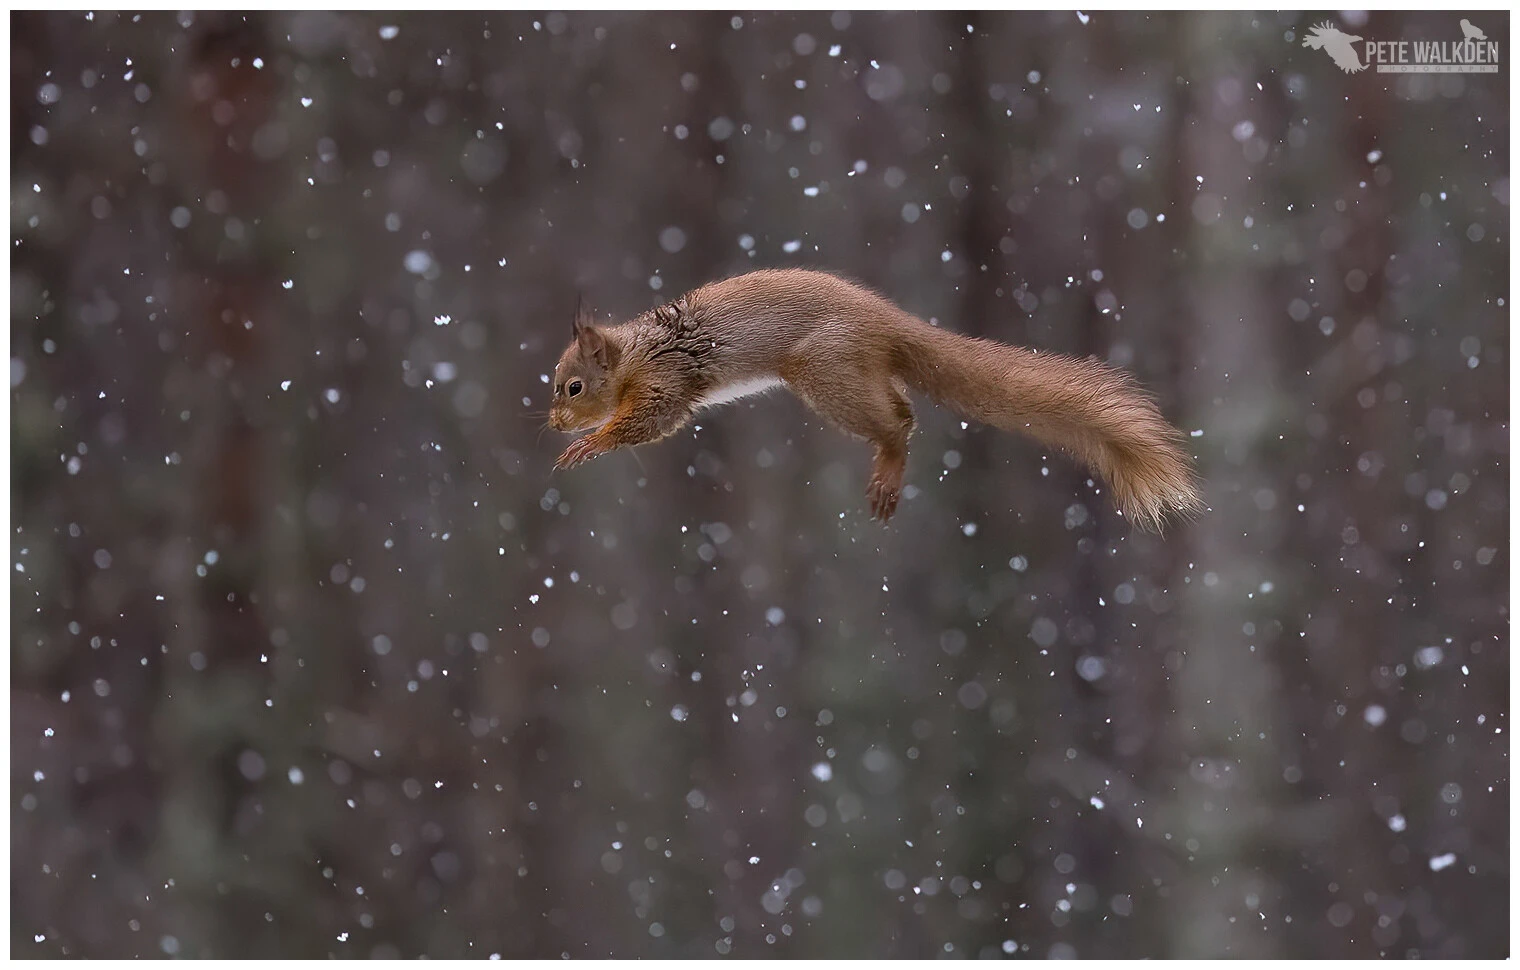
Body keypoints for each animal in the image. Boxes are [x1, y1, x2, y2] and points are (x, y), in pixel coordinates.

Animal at [547, 267, 1197, 532]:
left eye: (573, 386)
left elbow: (652, 422)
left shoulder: (668, 382)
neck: (636, 353)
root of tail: (885, 320)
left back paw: (889, 463)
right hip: (851, 374)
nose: (553, 422)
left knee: (895, 426)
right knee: (905, 409)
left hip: (825, 373)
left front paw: (588, 444)